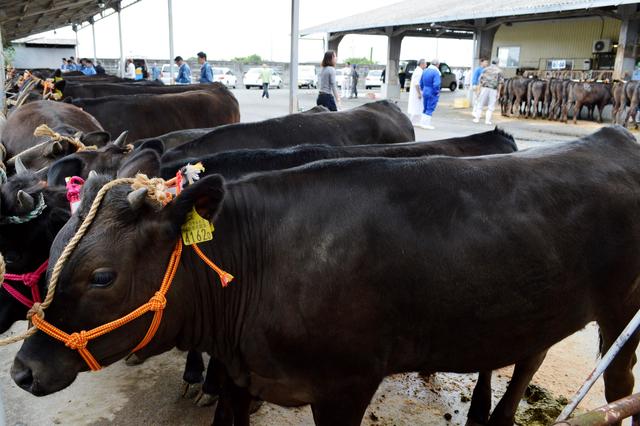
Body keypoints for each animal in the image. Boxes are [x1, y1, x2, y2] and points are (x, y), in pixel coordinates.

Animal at [13, 125, 640, 426]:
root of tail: (613, 137)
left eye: (101, 277)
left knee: (617, 388)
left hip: (621, 314)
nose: (22, 371)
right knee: (526, 358)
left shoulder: (346, 385)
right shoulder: (240, 371)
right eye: (57, 242)